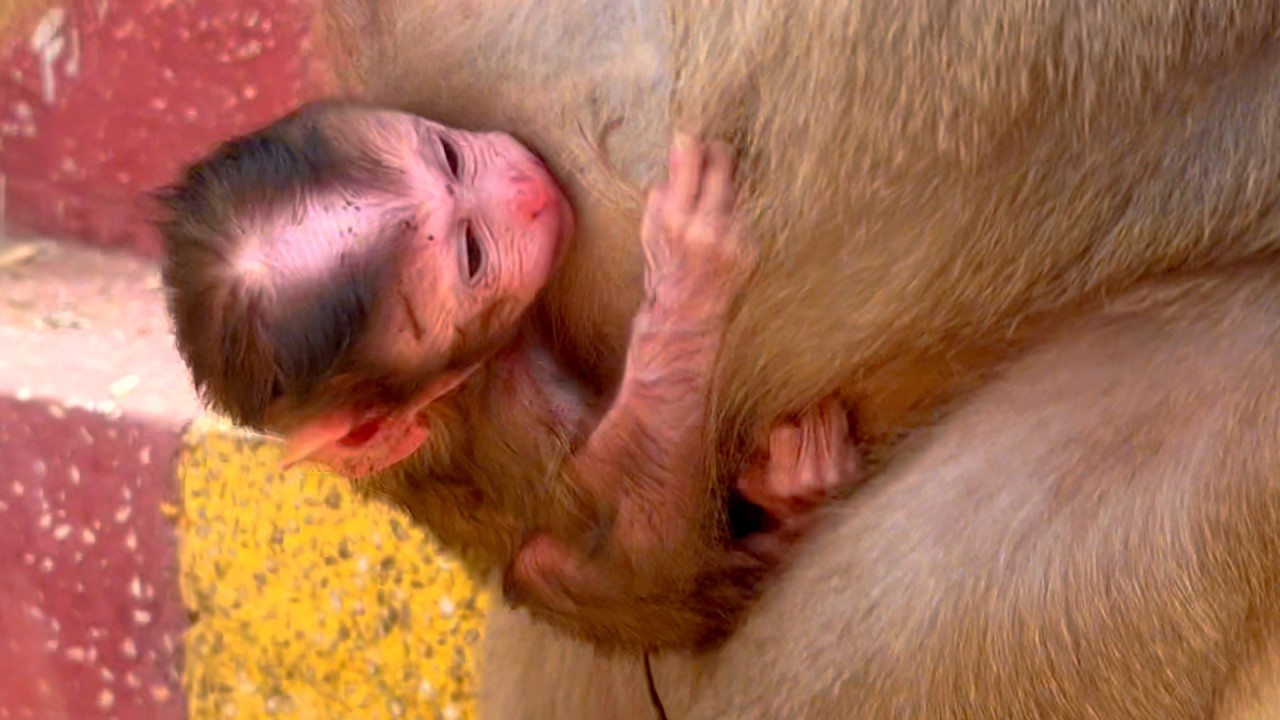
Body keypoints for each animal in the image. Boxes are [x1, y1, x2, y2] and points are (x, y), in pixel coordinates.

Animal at [158, 102, 860, 650]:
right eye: (471, 255)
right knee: (551, 563)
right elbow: (641, 546)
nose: (525, 188)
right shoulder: (499, 418)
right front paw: (690, 266)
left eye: (448, 158)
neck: (473, 380)